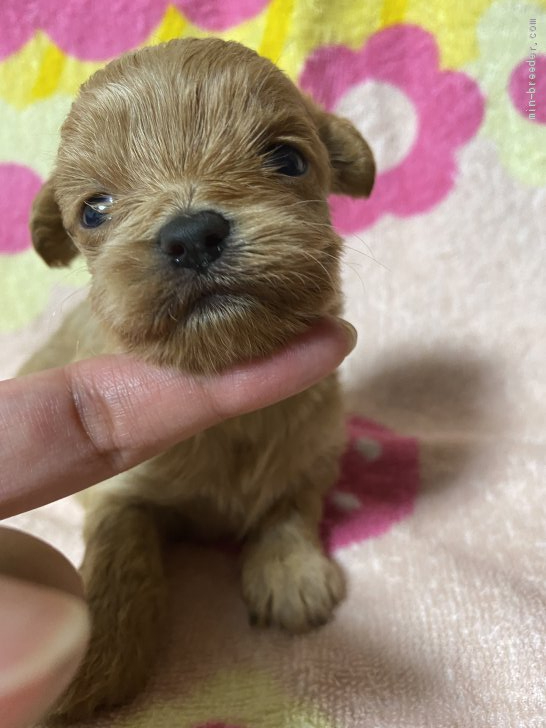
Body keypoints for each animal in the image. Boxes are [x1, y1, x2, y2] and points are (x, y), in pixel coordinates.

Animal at [24, 37, 374, 720]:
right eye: (95, 210)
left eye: (288, 159)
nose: (191, 235)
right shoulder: (120, 491)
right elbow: (122, 550)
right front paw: (94, 655)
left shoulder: (313, 453)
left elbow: (290, 506)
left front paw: (290, 574)